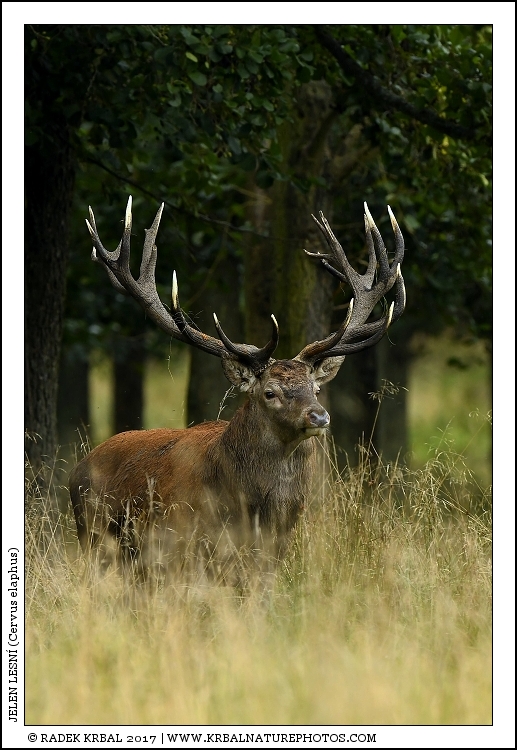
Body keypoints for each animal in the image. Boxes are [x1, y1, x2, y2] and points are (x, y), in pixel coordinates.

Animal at [69, 197, 406, 586]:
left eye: (315, 387)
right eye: (270, 393)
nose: (319, 416)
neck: (252, 510)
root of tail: (77, 469)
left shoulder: (273, 554)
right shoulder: (183, 547)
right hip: (96, 538)